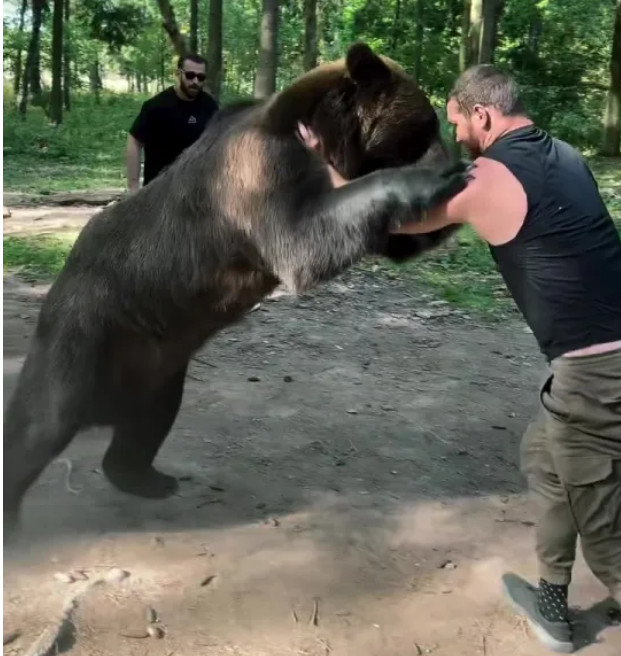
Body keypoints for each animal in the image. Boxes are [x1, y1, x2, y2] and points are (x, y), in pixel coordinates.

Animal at [3, 42, 467, 536]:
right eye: (425, 125)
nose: (452, 149)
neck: (321, 140)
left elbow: (386, 237)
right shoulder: (259, 172)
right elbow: (303, 238)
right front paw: (433, 181)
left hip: (155, 365)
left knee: (148, 421)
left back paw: (145, 477)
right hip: (86, 331)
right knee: (40, 423)